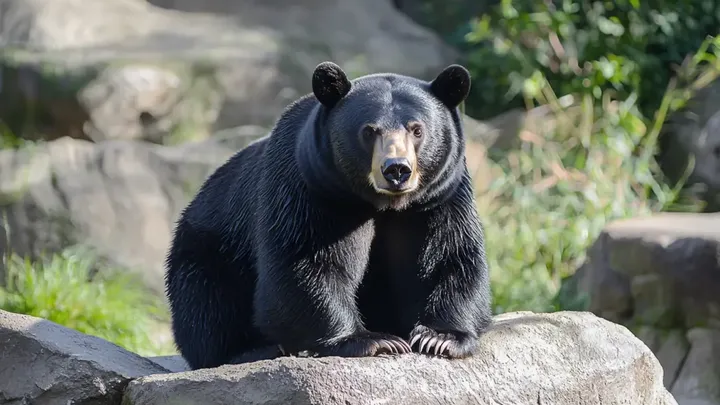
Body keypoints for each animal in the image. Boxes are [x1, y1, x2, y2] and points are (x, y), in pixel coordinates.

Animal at [164, 61, 493, 370]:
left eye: (417, 129)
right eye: (369, 131)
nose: (396, 169)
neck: (383, 203)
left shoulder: (439, 197)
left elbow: (448, 255)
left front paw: (440, 338)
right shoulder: (310, 188)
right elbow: (307, 261)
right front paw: (374, 341)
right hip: (208, 246)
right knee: (207, 303)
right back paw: (251, 350)